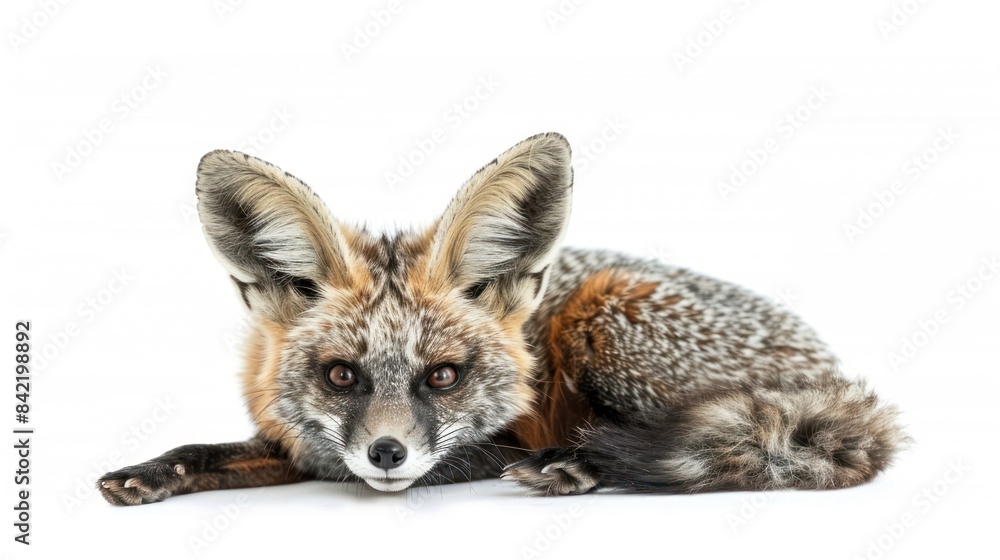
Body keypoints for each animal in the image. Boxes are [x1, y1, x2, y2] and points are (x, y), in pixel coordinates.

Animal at [98, 132, 905, 505]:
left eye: (444, 377)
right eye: (340, 376)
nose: (385, 454)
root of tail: (832, 370)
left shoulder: (490, 443)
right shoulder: (294, 443)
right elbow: (209, 449)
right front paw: (153, 471)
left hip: (604, 318)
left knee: (716, 449)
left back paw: (580, 465)